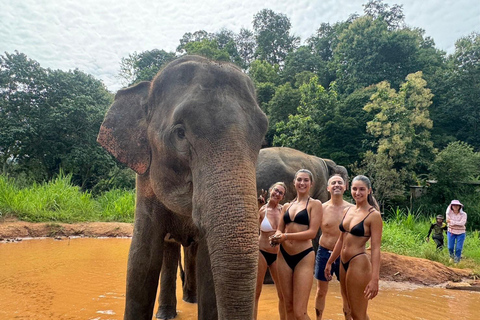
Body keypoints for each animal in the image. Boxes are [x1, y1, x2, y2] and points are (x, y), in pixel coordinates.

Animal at [96, 55, 270, 320]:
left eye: (261, 137)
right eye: (179, 133)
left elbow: (207, 265)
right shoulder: (145, 182)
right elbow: (142, 259)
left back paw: (190, 300)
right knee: (168, 252)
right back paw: (166, 314)